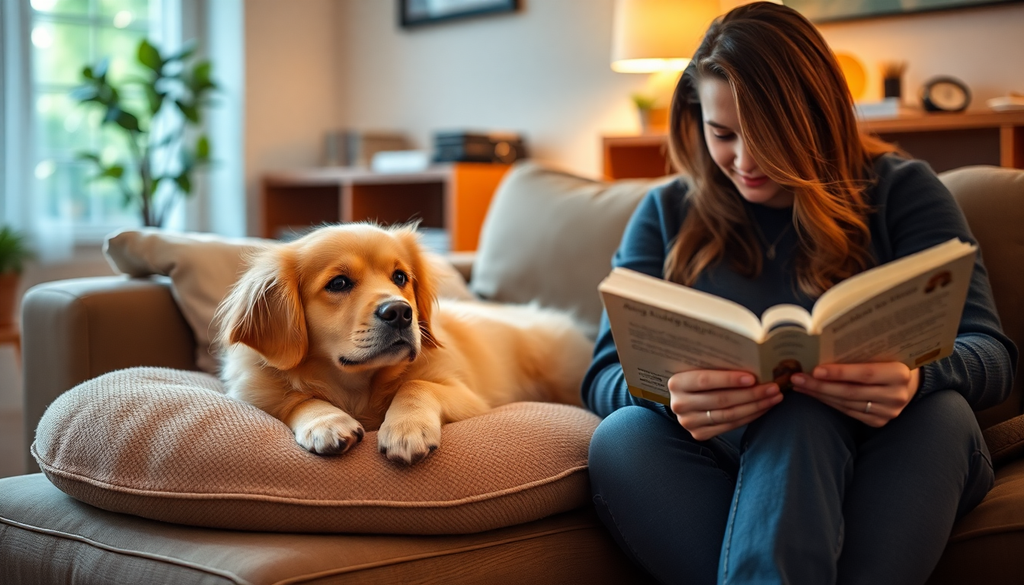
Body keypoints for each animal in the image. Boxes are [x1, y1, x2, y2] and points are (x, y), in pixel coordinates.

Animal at [216, 224, 593, 467]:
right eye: (338, 283)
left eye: (400, 277)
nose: (399, 312)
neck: (358, 383)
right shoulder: (256, 394)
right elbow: (297, 399)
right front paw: (325, 421)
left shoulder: (469, 397)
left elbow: (416, 384)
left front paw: (406, 429)